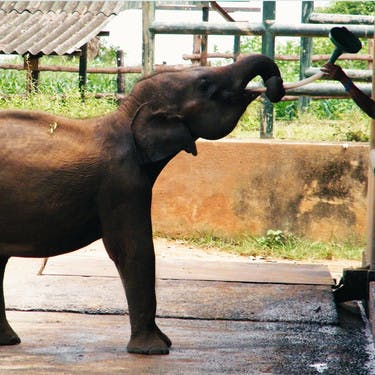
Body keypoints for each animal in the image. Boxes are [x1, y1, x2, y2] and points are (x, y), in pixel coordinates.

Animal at [0, 55, 284, 356]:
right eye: (205, 85)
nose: (275, 88)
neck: (126, 115)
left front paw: (164, 343)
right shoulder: (122, 183)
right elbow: (133, 249)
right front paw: (154, 351)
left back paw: (9, 341)